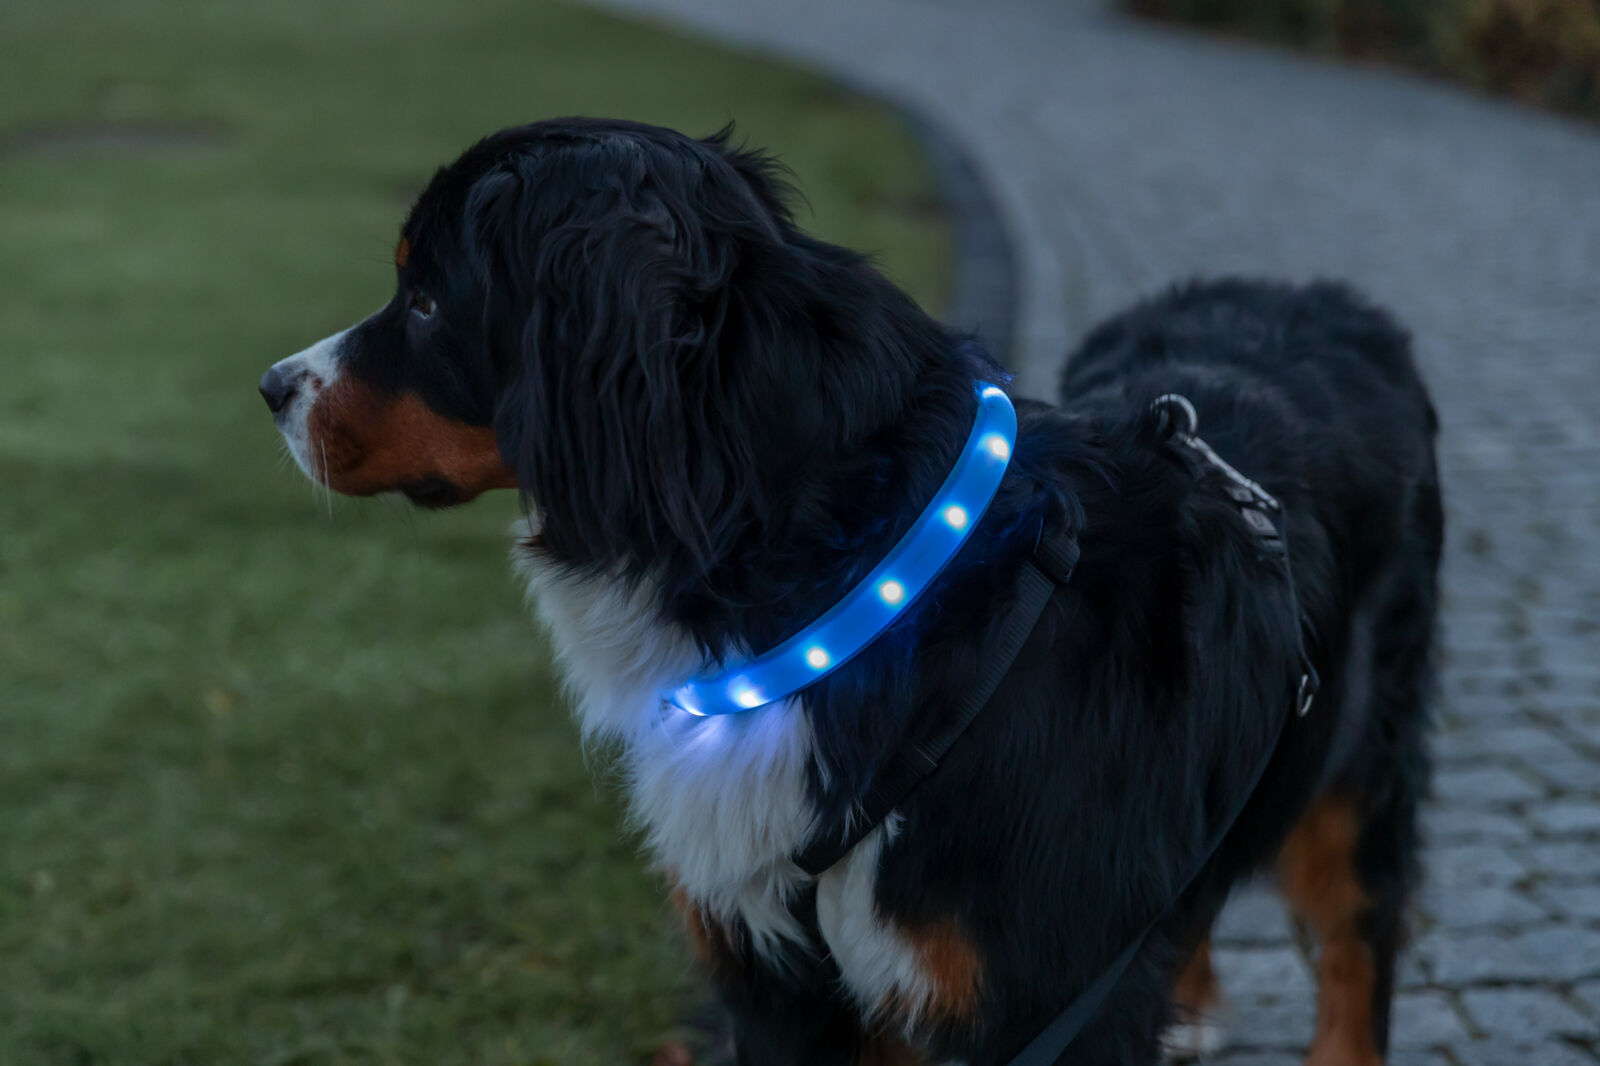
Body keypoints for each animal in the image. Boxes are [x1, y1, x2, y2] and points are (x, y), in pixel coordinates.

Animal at [261, 118, 1441, 1066]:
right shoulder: (775, 970)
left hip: (1361, 758)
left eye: (426, 299)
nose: (273, 385)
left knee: (1356, 935)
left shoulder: (1046, 994)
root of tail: (1315, 298)